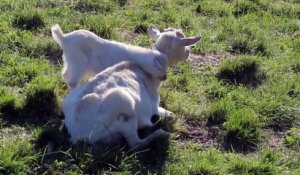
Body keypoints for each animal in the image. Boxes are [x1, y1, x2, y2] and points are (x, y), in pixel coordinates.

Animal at [51, 24, 202, 89]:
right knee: (72, 82)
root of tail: (64, 38)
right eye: (183, 45)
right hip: (79, 63)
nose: (188, 53)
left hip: (70, 61)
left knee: (65, 75)